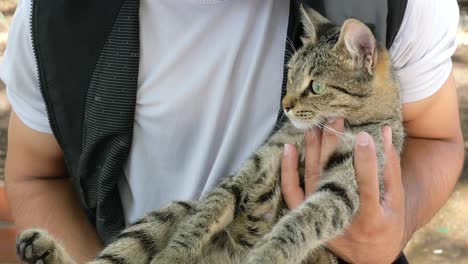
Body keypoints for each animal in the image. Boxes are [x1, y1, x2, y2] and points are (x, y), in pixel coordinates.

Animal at [16, 5, 404, 264]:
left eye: (317, 87)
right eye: (291, 75)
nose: (286, 104)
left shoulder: (348, 184)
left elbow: (301, 223)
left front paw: (268, 254)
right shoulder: (253, 166)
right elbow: (204, 217)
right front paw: (173, 257)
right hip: (167, 213)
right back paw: (41, 248)